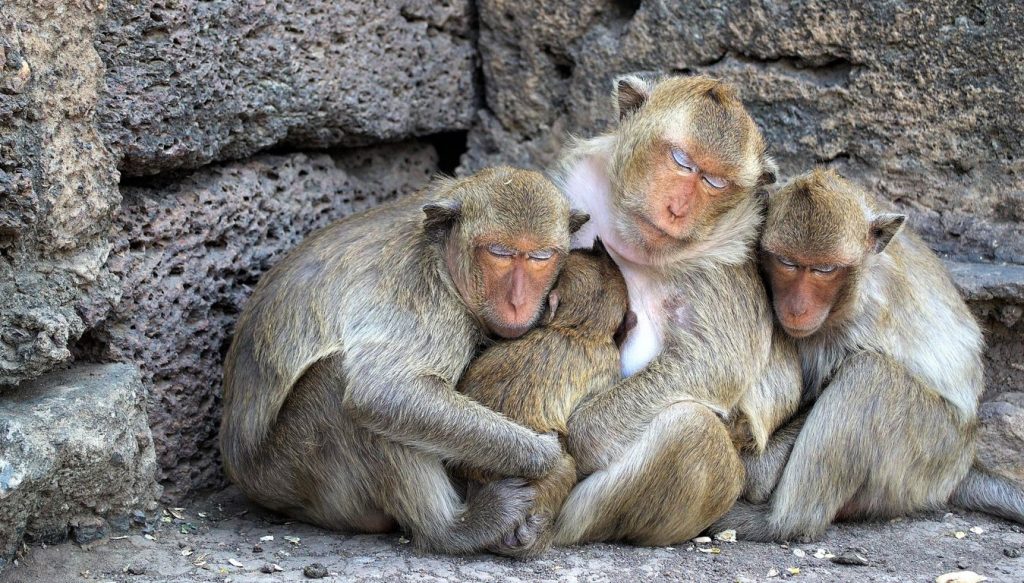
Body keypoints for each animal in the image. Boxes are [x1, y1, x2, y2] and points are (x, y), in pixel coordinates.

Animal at [219, 166, 591, 554]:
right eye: (499, 254)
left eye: (541, 258)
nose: (518, 302)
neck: (443, 259)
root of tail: (244, 475)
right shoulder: (425, 296)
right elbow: (385, 392)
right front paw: (551, 460)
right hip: (292, 474)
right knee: (339, 383)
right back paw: (453, 529)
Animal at [544, 72, 802, 546]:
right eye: (682, 161)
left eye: (715, 182)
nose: (678, 209)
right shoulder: (575, 187)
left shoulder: (723, 267)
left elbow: (713, 362)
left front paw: (581, 440)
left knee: (692, 429)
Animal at [710, 168, 1024, 541]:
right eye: (787, 263)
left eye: (824, 270)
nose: (797, 308)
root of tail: (965, 463)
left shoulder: (860, 322)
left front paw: (756, 471)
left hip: (931, 453)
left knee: (870, 374)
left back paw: (779, 522)